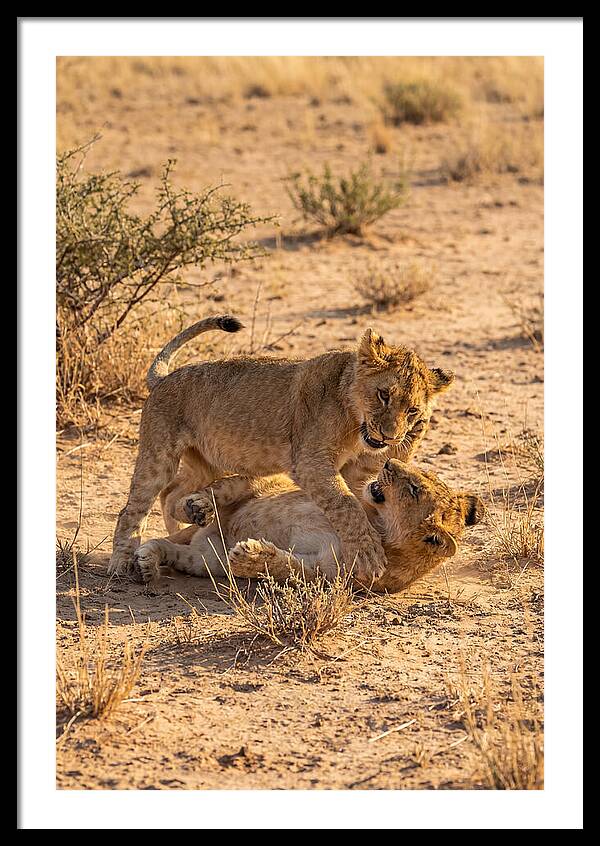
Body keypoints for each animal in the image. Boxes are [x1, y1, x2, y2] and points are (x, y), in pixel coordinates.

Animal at [109, 315, 454, 582]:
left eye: (412, 410)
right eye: (384, 395)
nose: (389, 436)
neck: (354, 421)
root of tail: (164, 378)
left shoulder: (358, 471)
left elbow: (359, 495)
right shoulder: (311, 462)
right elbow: (346, 505)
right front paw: (369, 554)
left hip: (207, 462)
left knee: (172, 494)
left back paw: (191, 519)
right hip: (159, 454)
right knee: (133, 508)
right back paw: (122, 563)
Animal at [134, 459, 484, 593]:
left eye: (414, 489)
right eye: (420, 475)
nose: (387, 462)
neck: (377, 523)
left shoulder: (325, 574)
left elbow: (286, 567)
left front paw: (250, 555)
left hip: (206, 560)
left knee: (174, 550)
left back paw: (148, 562)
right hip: (260, 485)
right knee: (225, 487)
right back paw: (197, 506)